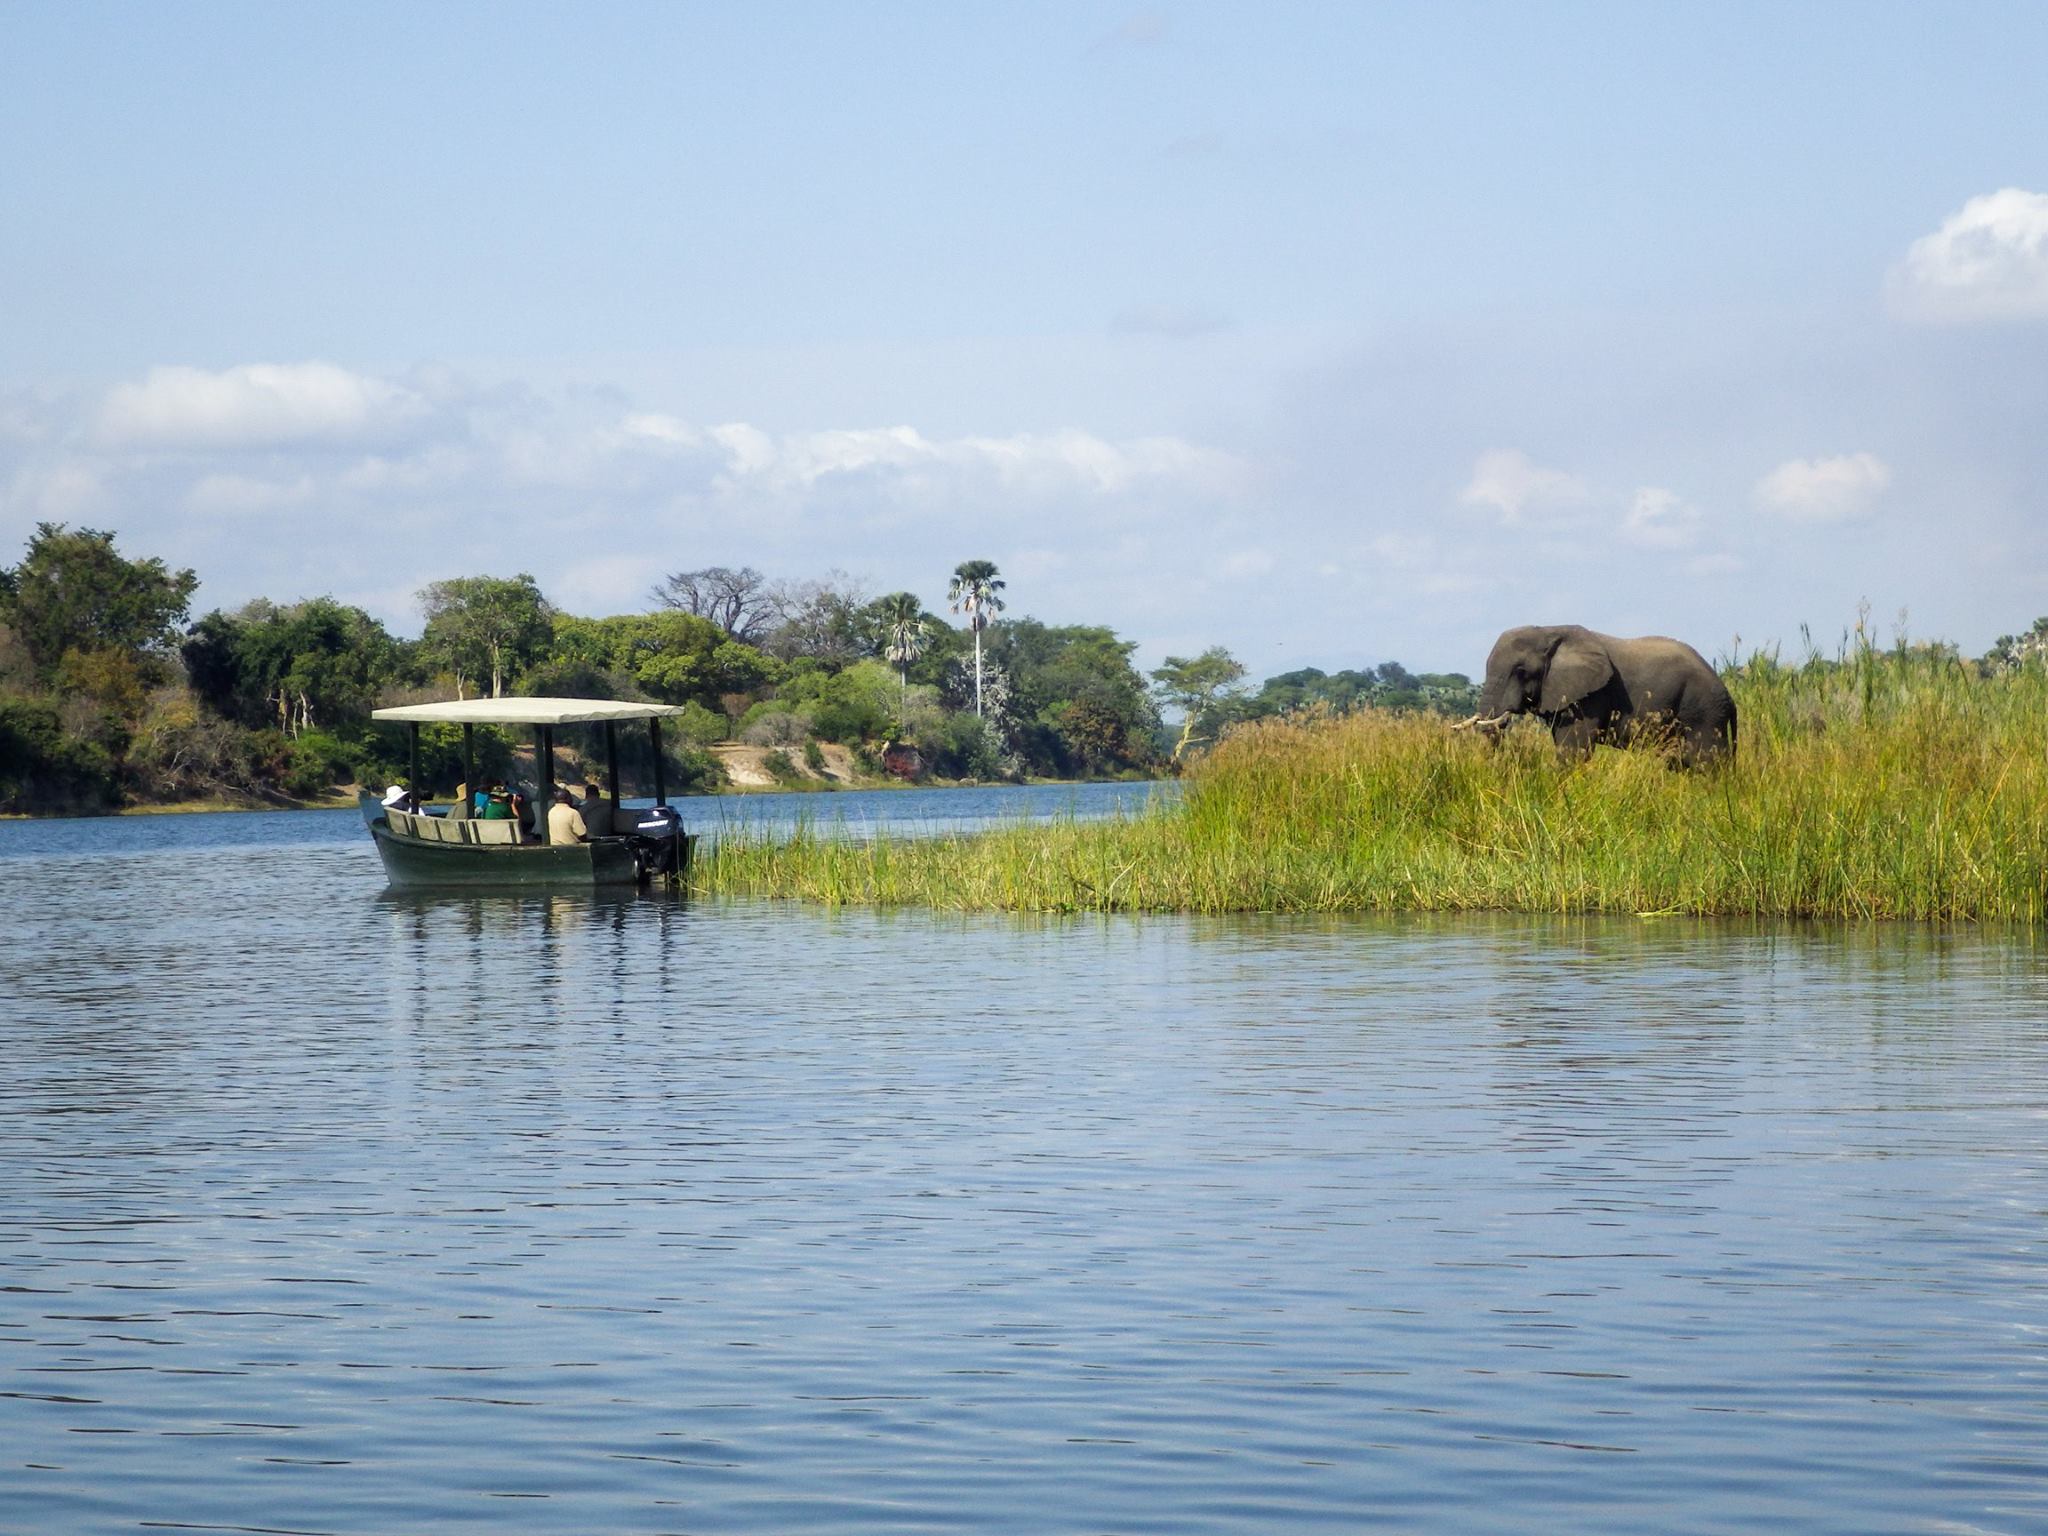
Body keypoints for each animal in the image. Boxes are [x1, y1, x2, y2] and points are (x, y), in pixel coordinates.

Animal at [1466, 626, 1736, 765]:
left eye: (1521, 672)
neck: (1549, 631)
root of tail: (1729, 697)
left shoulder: (1592, 695)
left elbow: (1574, 749)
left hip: (1703, 713)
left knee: (1704, 763)